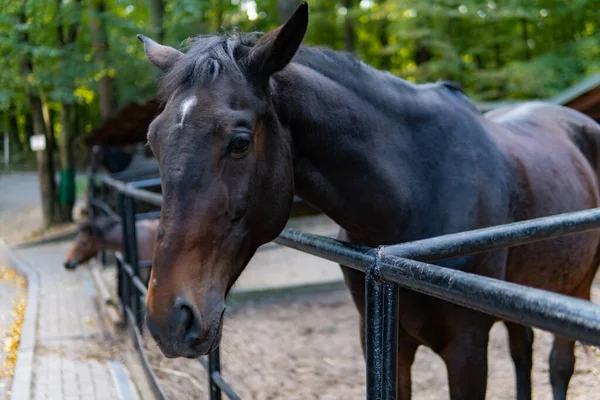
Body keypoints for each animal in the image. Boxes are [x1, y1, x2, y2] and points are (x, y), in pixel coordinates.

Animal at [136, 4, 600, 398]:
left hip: (574, 287)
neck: (415, 197)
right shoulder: (383, 342)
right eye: (153, 141)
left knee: (559, 366)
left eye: (239, 142)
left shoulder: (467, 348)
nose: (167, 320)